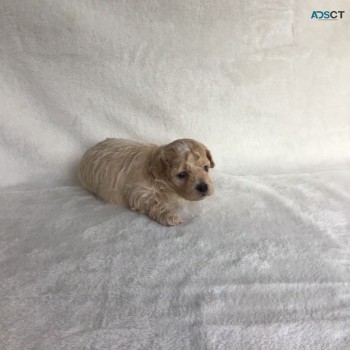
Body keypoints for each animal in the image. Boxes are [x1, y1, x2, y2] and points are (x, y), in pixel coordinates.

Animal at [79, 138, 215, 226]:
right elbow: (154, 202)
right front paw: (170, 216)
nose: (203, 187)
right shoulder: (138, 191)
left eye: (206, 168)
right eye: (182, 175)